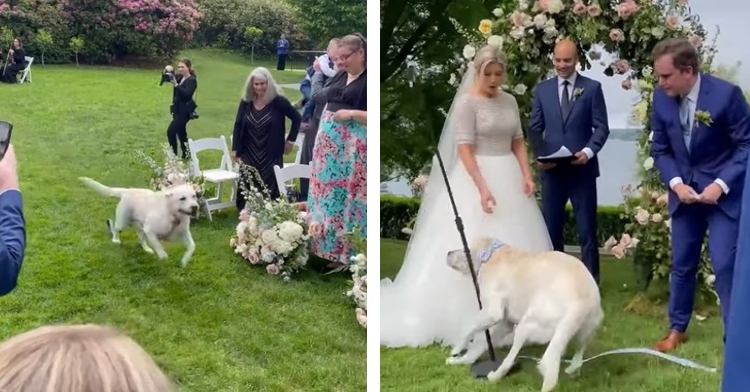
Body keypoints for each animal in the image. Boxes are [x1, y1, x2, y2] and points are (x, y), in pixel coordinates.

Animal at [446, 237, 604, 390]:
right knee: (577, 358)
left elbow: (468, 328)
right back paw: (572, 370)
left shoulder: (492, 312)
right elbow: (478, 344)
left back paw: (495, 376)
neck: (492, 253)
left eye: (465, 248)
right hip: (585, 332)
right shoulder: (504, 322)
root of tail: (581, 303)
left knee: (510, 359)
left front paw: (457, 349)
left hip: (526, 326)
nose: (448, 253)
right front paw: (461, 360)